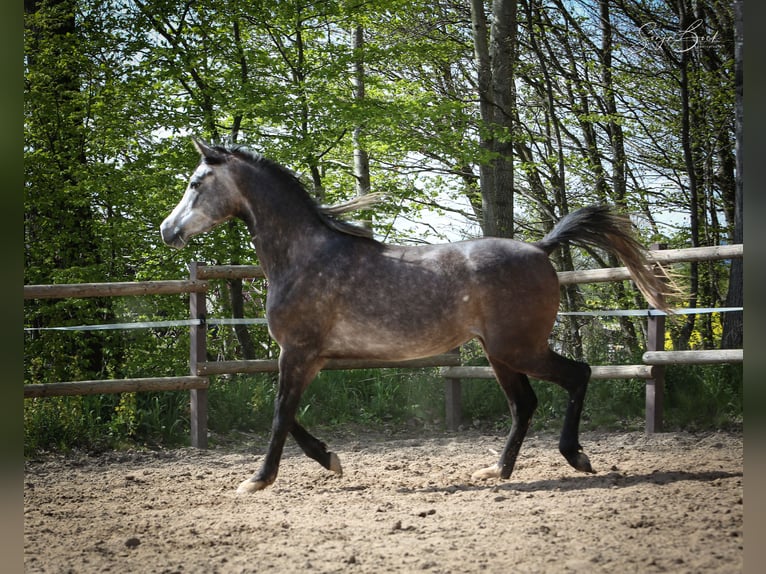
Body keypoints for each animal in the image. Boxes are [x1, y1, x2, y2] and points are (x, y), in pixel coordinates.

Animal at [162, 140, 672, 496]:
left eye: (195, 183)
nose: (168, 231)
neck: (304, 257)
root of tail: (540, 248)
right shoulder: (309, 357)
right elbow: (286, 413)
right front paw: (330, 459)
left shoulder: (300, 352)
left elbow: (279, 413)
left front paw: (258, 479)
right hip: (500, 353)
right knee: (524, 404)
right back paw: (497, 470)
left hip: (519, 348)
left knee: (577, 375)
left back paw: (576, 457)